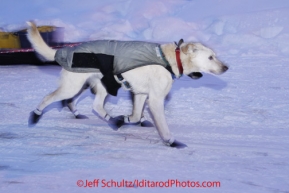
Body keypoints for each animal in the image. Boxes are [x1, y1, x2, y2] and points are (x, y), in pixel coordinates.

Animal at [27, 21, 227, 148]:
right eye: (210, 57)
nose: (226, 67)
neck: (169, 60)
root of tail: (65, 51)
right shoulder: (155, 100)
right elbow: (162, 127)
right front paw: (170, 141)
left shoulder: (140, 95)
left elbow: (136, 116)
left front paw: (126, 119)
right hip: (73, 86)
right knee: (50, 98)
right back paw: (35, 114)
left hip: (96, 86)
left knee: (94, 105)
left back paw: (112, 119)